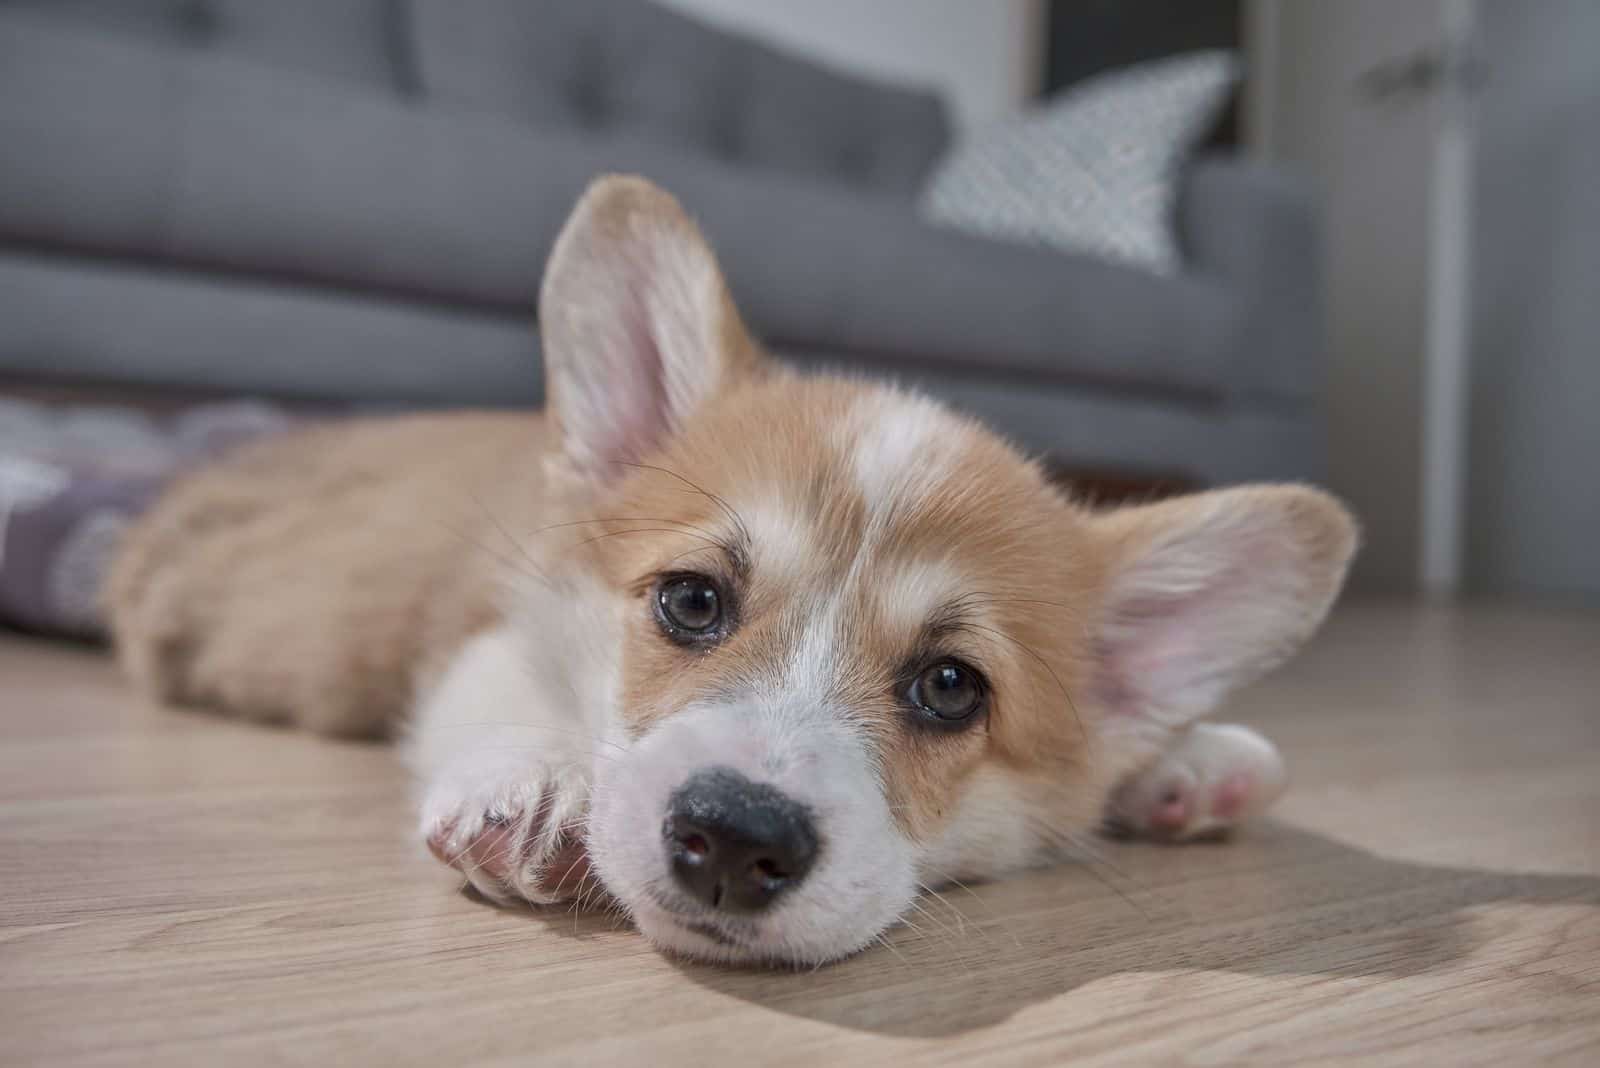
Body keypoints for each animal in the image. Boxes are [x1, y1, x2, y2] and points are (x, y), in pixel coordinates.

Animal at [106, 173, 1356, 965]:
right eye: (692, 601)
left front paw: (1181, 763)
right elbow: (505, 697)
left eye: (951, 686)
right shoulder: (481, 636)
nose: (738, 840)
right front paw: (544, 783)